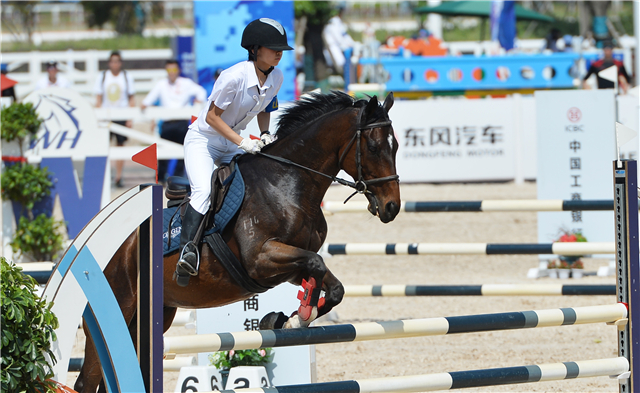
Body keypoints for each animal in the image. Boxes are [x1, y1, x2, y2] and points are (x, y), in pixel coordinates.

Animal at [74, 91, 400, 388]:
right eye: (373, 147)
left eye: (395, 146)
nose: (392, 207)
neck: (287, 182)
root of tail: (92, 237)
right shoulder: (261, 259)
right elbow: (317, 264)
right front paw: (299, 315)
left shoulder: (289, 266)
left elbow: (332, 287)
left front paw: (289, 318)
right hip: (117, 306)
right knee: (89, 378)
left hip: (157, 314)